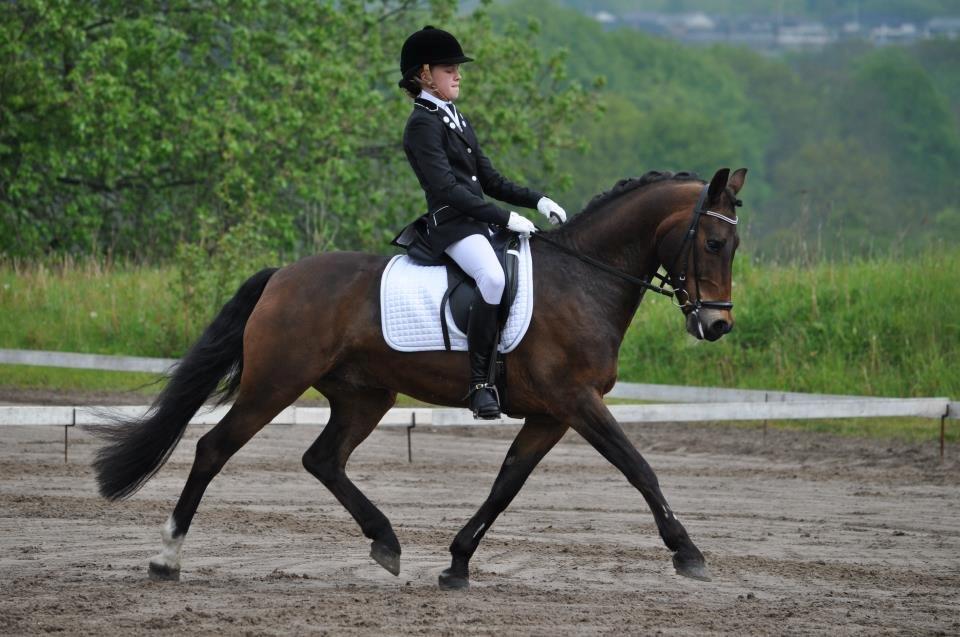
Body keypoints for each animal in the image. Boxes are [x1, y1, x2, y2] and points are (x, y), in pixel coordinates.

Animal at [92, 167, 746, 589]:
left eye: (734, 244)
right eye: (714, 242)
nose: (716, 326)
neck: (584, 280)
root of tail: (281, 276)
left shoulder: (549, 414)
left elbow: (507, 484)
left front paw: (456, 564)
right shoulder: (576, 401)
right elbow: (638, 467)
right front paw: (688, 553)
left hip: (365, 395)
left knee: (323, 459)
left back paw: (386, 542)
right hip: (274, 384)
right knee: (213, 448)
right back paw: (167, 559)